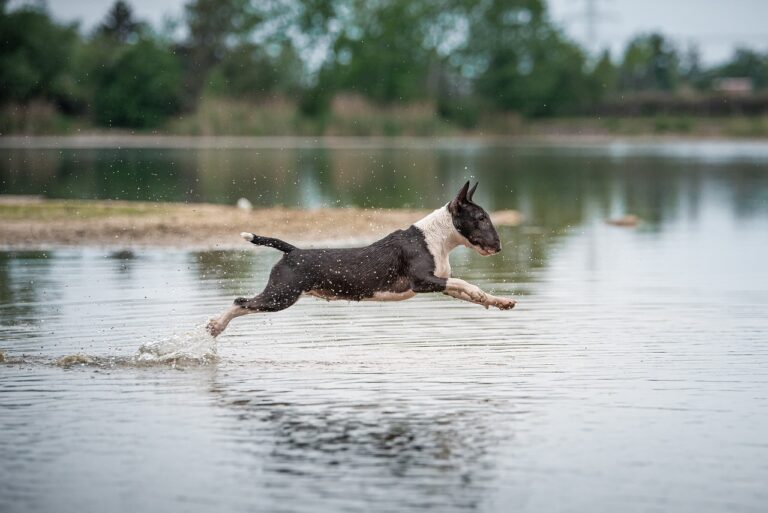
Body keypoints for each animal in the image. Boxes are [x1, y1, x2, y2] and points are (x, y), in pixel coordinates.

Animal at [207, 181, 516, 336]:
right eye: (481, 218)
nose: (499, 247)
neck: (436, 238)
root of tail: (292, 251)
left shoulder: (440, 282)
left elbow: (467, 290)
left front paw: (499, 302)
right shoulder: (421, 281)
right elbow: (465, 283)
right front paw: (487, 297)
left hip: (281, 295)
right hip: (281, 295)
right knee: (241, 302)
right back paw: (215, 326)